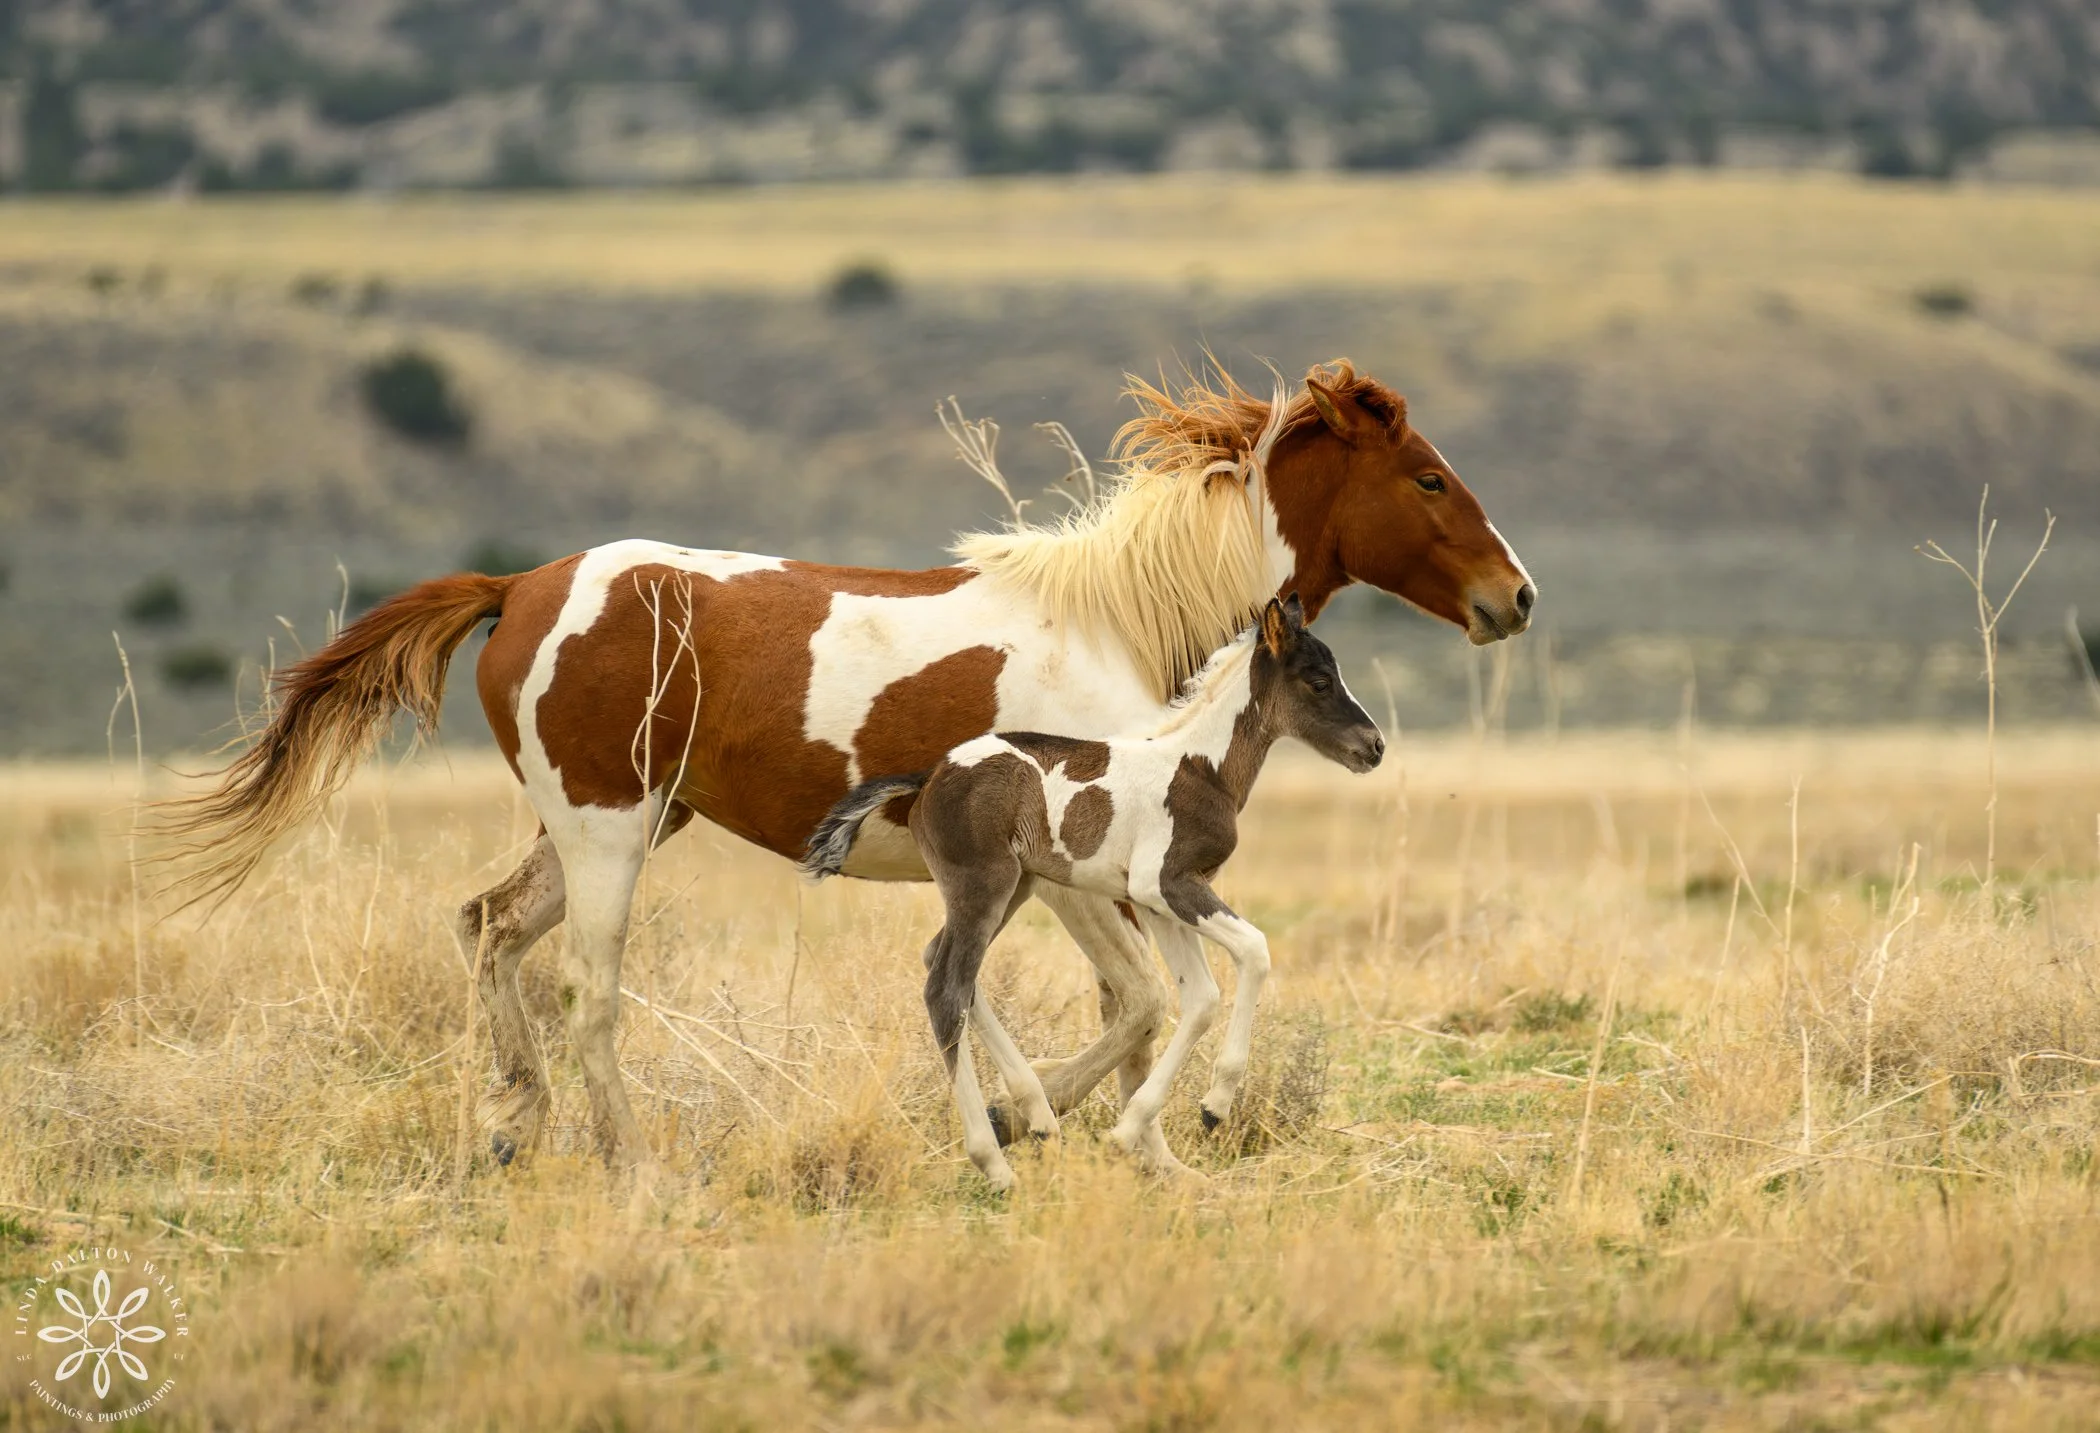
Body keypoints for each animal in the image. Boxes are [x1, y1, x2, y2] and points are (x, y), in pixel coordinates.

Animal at [804, 595, 1383, 1189]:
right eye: (1318, 681)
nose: (1375, 746)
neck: (1200, 768)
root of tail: (929, 779)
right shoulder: (1169, 883)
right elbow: (1255, 951)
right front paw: (1213, 1106)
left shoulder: (1156, 903)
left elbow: (1200, 998)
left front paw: (1130, 1131)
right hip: (983, 885)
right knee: (946, 990)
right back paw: (995, 1164)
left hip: (1013, 887)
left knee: (944, 968)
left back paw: (1035, 1116)